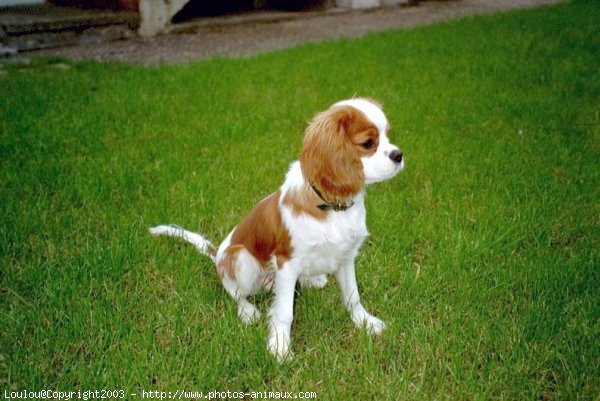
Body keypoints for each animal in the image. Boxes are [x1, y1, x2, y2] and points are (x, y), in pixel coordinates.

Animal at [150, 97, 404, 360]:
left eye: (387, 134)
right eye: (368, 144)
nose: (399, 155)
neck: (332, 207)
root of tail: (217, 254)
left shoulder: (346, 256)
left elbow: (353, 296)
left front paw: (366, 323)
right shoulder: (287, 262)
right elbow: (284, 313)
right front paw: (280, 347)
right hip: (241, 258)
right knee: (234, 292)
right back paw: (247, 311)